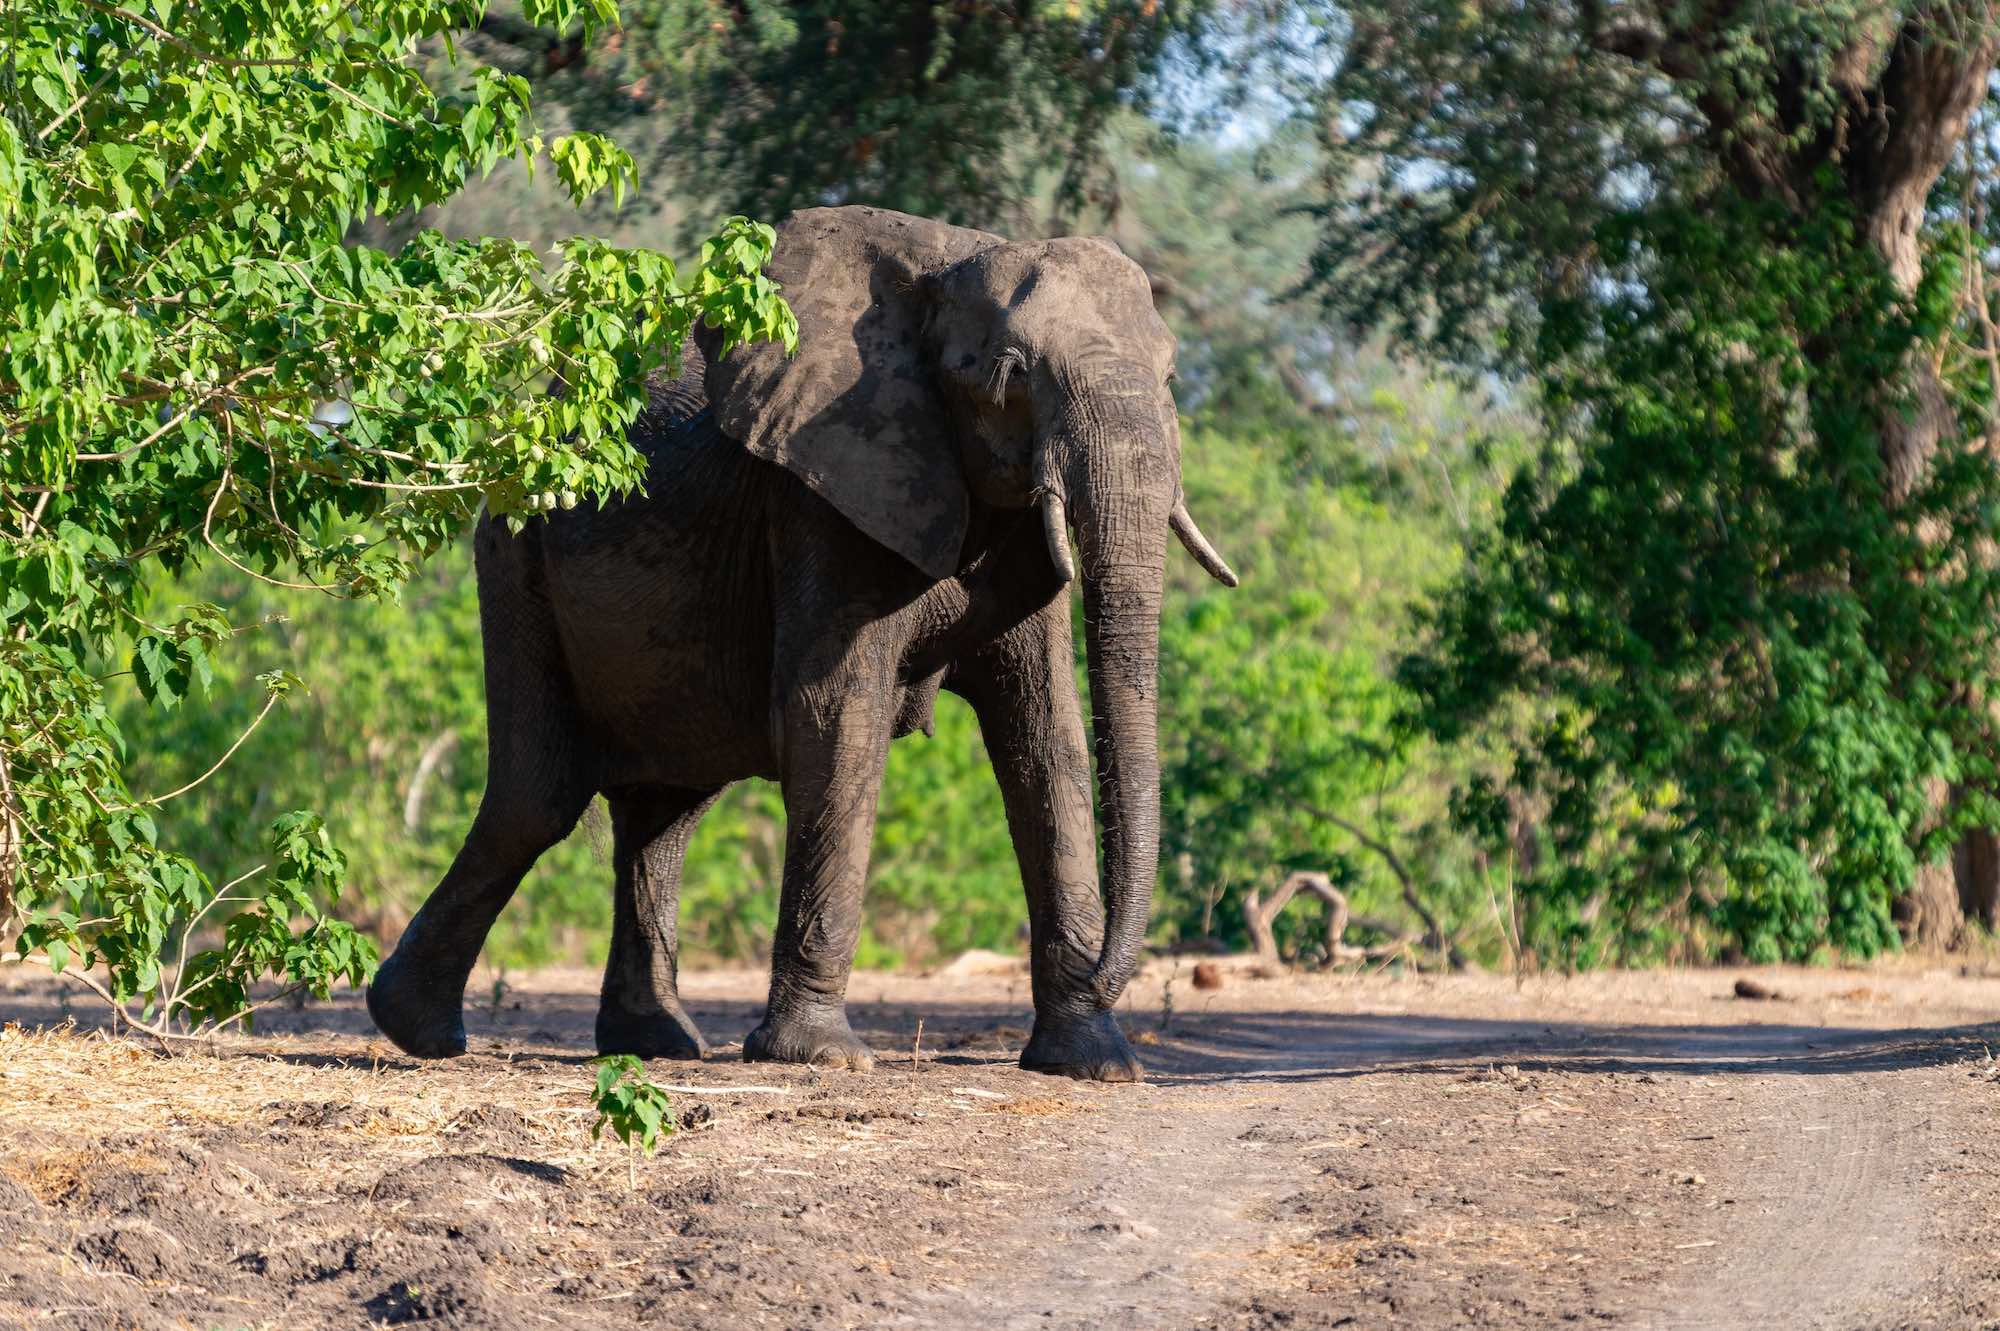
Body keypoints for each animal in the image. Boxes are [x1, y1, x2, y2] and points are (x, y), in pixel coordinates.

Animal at [360, 204, 1232, 1079]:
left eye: (1170, 380)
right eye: (1011, 376)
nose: (1110, 970)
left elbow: (1043, 738)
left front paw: (1094, 1061)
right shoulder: (824, 497)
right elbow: (835, 718)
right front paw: (820, 1056)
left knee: (662, 814)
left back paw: (655, 1043)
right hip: (514, 560)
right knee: (536, 799)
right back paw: (417, 1029)